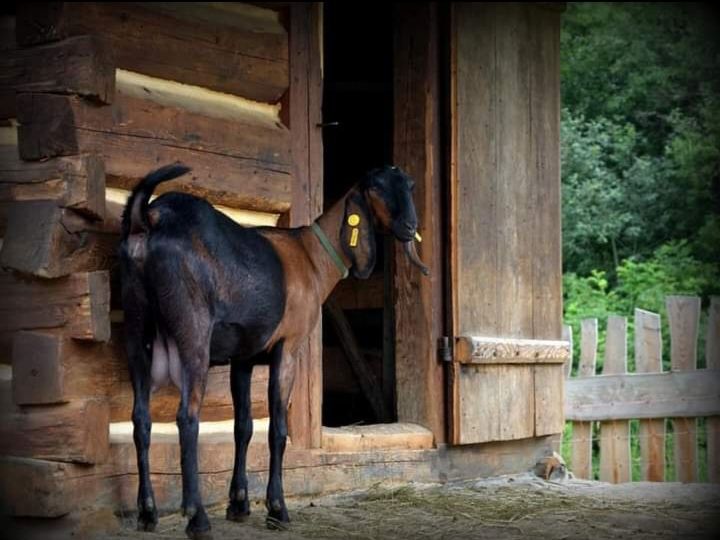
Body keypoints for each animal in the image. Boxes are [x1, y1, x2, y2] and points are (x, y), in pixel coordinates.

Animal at [119, 162, 428, 536]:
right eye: (377, 187)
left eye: (410, 185)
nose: (410, 227)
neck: (313, 258)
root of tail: (149, 218)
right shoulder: (288, 348)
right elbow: (277, 430)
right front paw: (277, 509)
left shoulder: (244, 358)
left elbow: (243, 427)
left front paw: (239, 504)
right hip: (193, 332)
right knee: (187, 418)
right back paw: (197, 518)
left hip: (137, 327)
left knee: (141, 419)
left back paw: (147, 512)